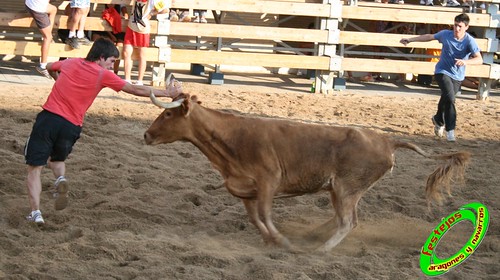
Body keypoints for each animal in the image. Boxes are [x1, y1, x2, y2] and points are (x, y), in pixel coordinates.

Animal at [144, 92, 468, 252]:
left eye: (168, 113)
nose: (146, 135)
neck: (231, 138)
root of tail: (386, 140)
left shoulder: (269, 181)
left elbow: (265, 215)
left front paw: (282, 242)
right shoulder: (245, 190)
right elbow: (255, 218)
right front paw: (270, 241)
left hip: (347, 188)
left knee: (348, 222)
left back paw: (322, 249)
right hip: (342, 190)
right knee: (345, 218)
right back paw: (315, 236)